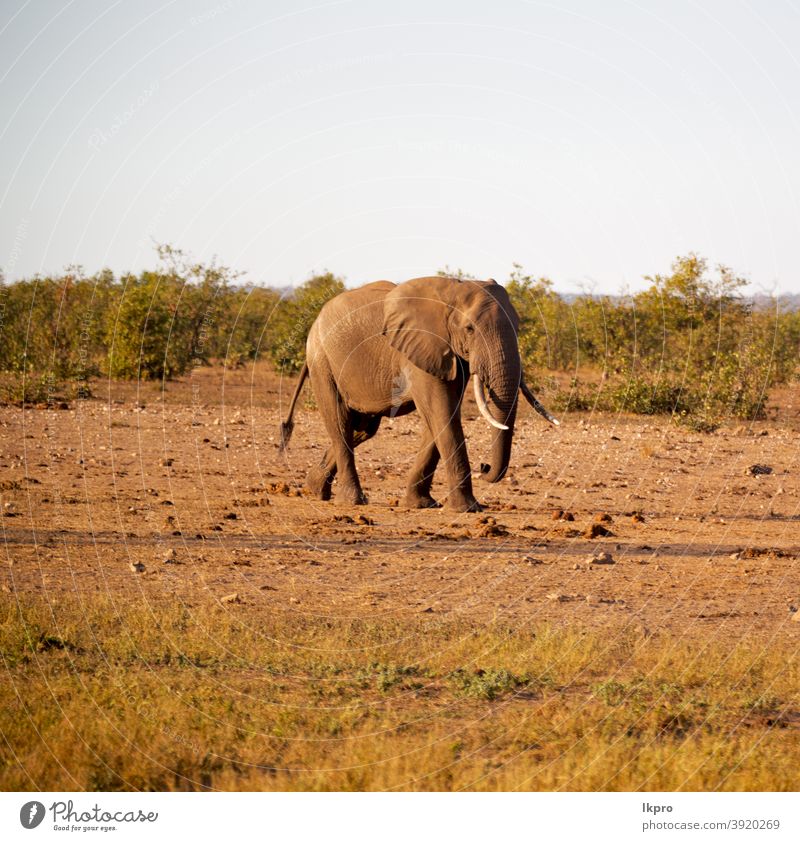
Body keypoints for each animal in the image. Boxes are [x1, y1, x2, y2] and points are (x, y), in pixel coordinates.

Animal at [278, 276, 560, 512]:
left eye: (518, 328)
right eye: (469, 329)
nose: (485, 466)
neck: (452, 291)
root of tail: (315, 322)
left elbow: (438, 419)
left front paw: (421, 505)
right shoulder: (422, 346)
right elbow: (442, 414)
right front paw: (468, 509)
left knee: (362, 428)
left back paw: (315, 488)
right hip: (322, 361)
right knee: (340, 423)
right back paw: (352, 501)